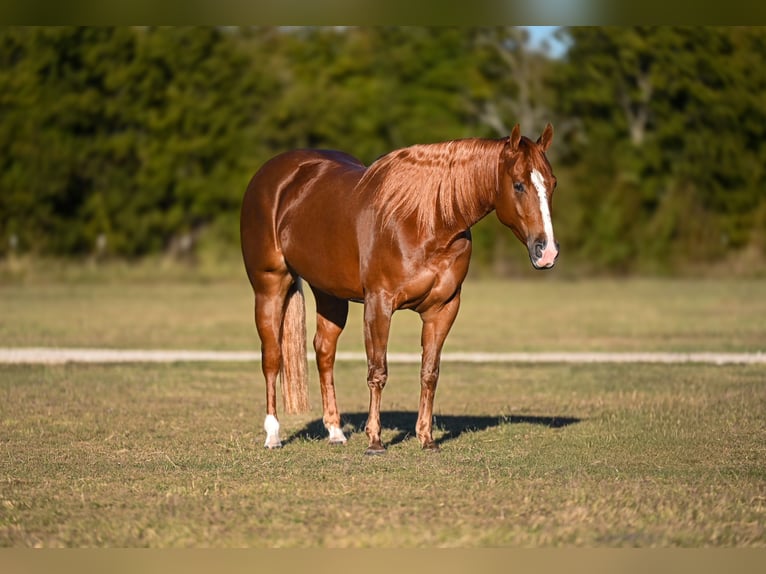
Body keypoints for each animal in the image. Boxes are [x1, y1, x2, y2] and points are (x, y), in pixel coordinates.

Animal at [240, 124, 559, 454]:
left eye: (552, 183)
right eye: (519, 185)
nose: (547, 252)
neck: (426, 220)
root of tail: (275, 174)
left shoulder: (443, 308)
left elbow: (429, 372)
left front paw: (427, 439)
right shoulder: (378, 304)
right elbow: (378, 370)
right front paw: (375, 441)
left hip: (330, 294)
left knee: (324, 352)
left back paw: (335, 431)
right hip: (270, 285)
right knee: (272, 356)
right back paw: (273, 435)